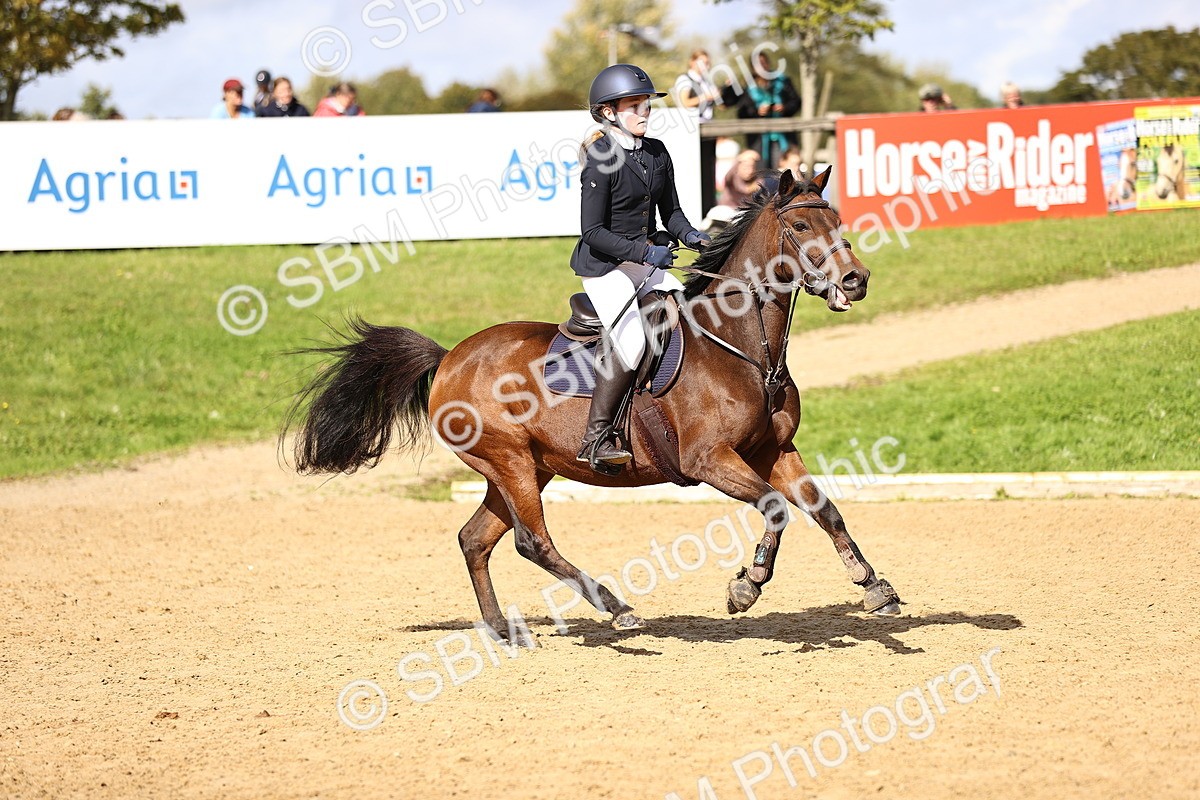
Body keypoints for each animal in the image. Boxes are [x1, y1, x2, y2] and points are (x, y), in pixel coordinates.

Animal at [282, 167, 901, 640]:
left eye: (837, 222)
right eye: (799, 225)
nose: (857, 279)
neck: (743, 348)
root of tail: (450, 356)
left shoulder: (774, 450)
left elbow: (824, 509)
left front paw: (875, 586)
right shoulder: (709, 460)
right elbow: (775, 508)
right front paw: (745, 586)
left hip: (523, 467)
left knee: (475, 540)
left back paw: (500, 629)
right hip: (510, 462)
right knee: (532, 542)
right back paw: (615, 607)